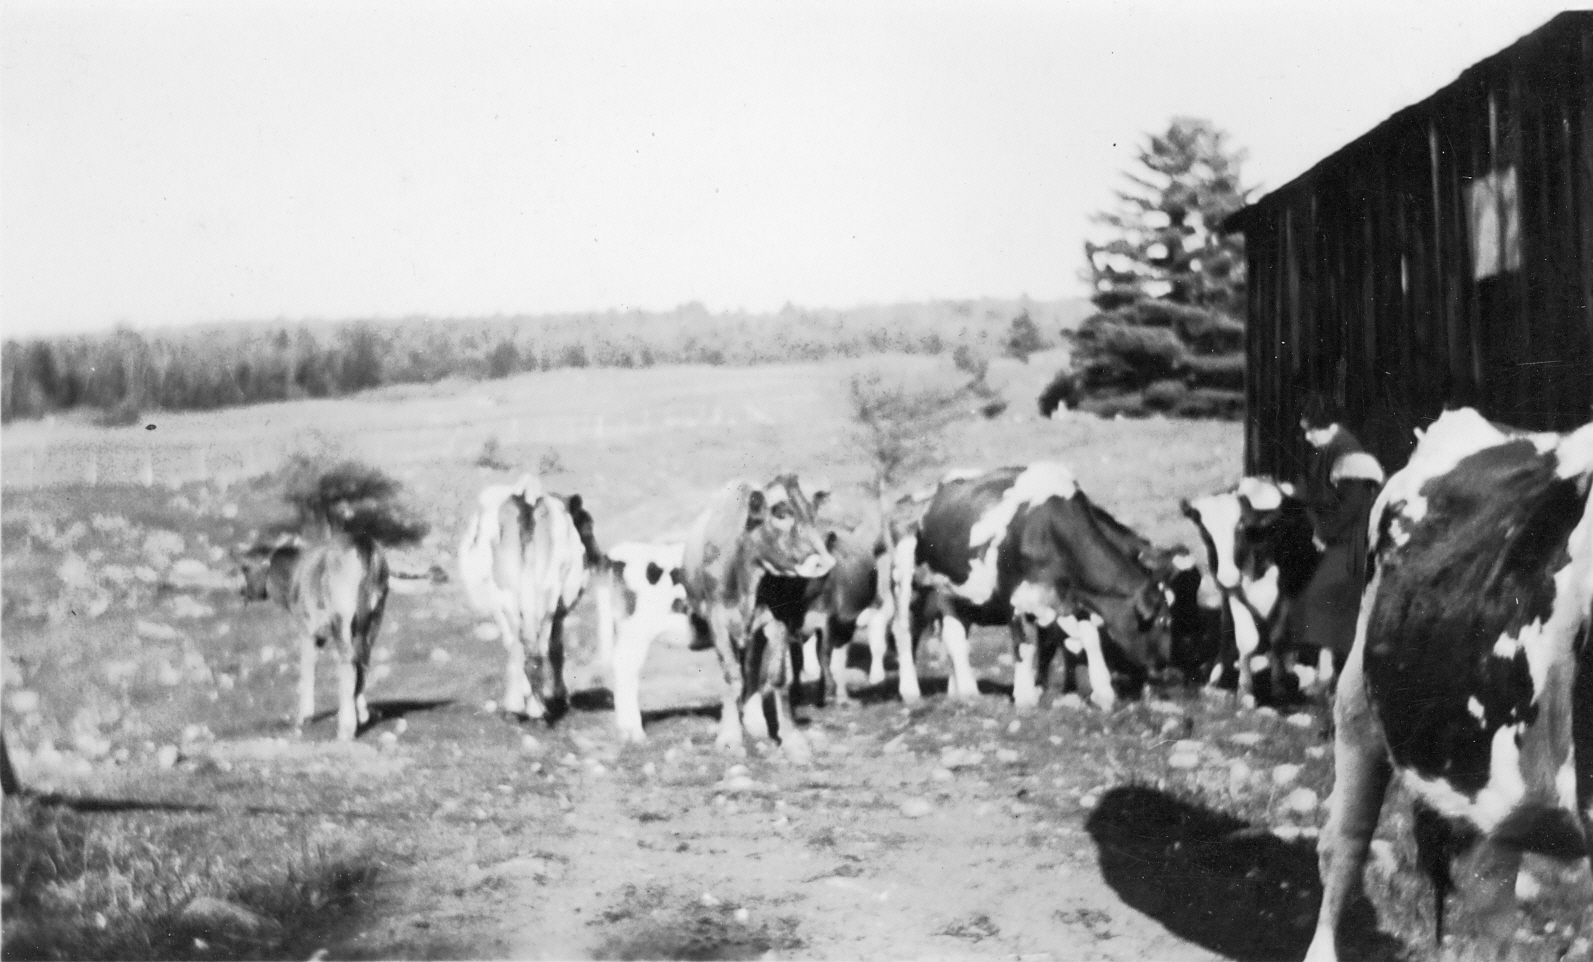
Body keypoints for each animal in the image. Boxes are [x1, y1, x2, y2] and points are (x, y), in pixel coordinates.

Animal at [240, 528, 393, 739]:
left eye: (247, 570)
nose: (242, 591)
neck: (289, 586)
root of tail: (365, 548)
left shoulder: (307, 629)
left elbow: (307, 669)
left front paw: (303, 717)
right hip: (376, 614)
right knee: (363, 659)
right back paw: (361, 715)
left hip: (341, 614)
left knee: (348, 661)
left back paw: (345, 728)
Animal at [465, 474, 611, 719]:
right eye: (588, 525)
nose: (599, 557)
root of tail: (528, 498)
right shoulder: (561, 610)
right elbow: (556, 649)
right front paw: (559, 697)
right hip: (543, 595)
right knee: (533, 645)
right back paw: (533, 705)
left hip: (512, 595)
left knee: (523, 645)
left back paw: (524, 706)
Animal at [681, 474, 834, 758]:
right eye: (781, 513)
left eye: (812, 513)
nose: (825, 562)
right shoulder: (717, 620)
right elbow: (731, 676)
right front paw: (729, 735)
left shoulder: (779, 620)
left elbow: (778, 678)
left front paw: (791, 738)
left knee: (751, 666)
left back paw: (754, 719)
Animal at [892, 461, 1178, 710]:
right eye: (1162, 621)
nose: (1164, 668)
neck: (1049, 529)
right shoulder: (1014, 599)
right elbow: (1025, 647)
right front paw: (1026, 696)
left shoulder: (1072, 601)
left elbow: (1087, 639)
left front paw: (1103, 692)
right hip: (904, 574)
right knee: (904, 628)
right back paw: (911, 691)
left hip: (951, 588)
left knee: (955, 636)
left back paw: (967, 691)